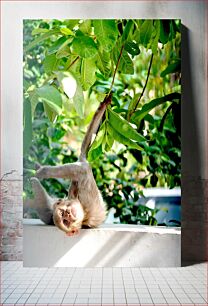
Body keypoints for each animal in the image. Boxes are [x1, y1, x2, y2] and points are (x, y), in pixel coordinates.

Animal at [29, 93, 112, 237]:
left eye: (63, 212)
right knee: (82, 167)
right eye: (65, 220)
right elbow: (82, 171)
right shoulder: (85, 204)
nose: (68, 213)